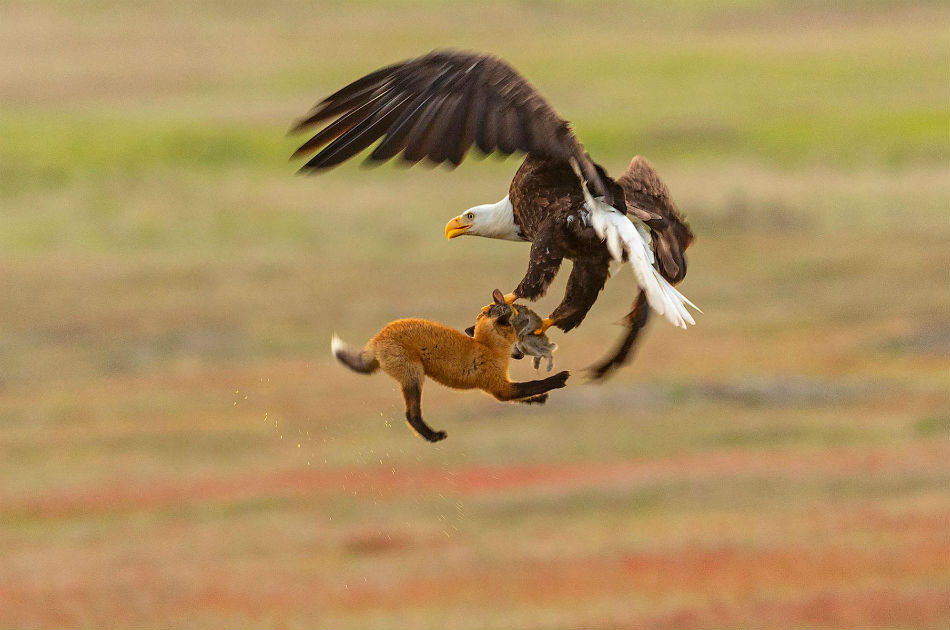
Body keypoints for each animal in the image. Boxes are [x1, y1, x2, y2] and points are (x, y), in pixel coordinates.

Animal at [332, 289, 571, 442]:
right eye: (516, 323)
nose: (520, 352)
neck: (487, 346)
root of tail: (377, 337)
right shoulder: (498, 386)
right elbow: (533, 384)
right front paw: (559, 379)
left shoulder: (501, 387)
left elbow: (523, 395)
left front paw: (538, 400)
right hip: (413, 377)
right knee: (411, 415)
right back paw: (433, 437)